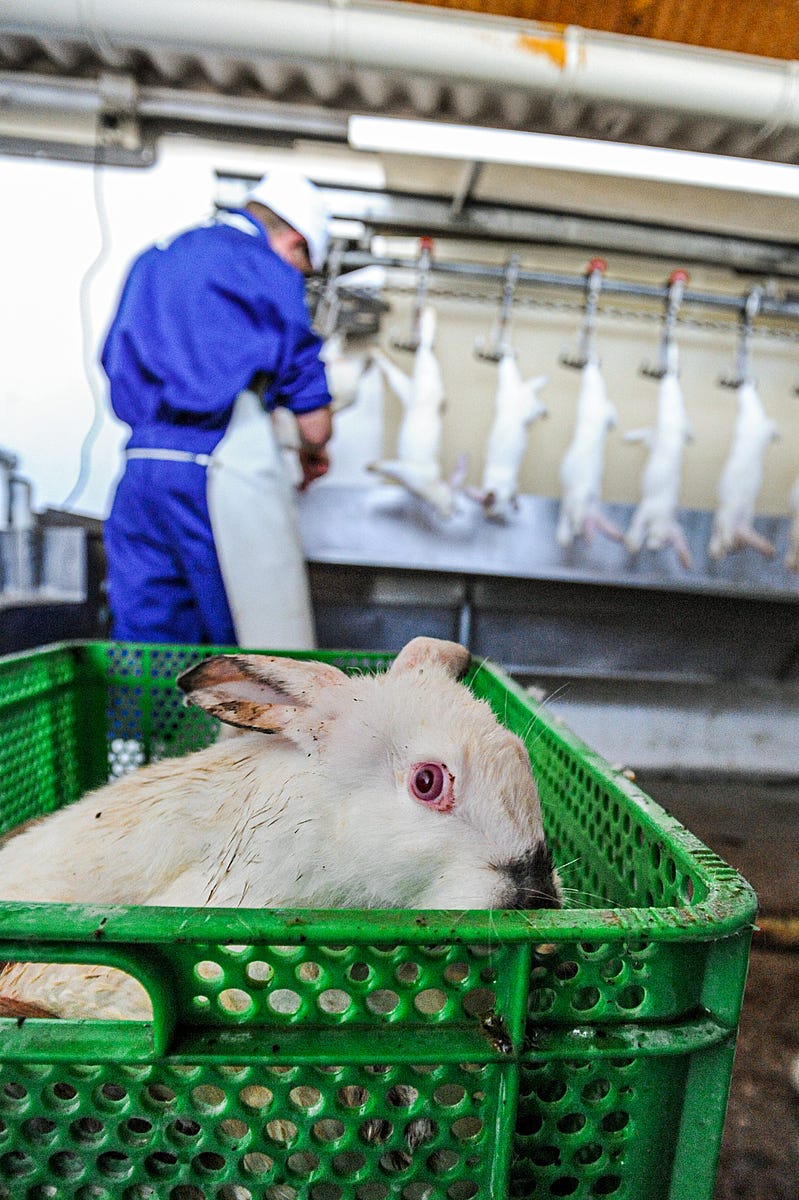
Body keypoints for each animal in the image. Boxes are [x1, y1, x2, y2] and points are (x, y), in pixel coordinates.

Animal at [470, 345, 544, 518]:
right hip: (505, 396)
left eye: (497, 514)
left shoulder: (513, 484)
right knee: (509, 367)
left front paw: (517, 505)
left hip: (529, 410)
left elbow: (515, 493)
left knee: (537, 405)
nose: (492, 517)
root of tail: (518, 391)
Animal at [554, 352, 623, 547]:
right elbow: (564, 511)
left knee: (610, 411)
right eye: (575, 522)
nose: (579, 532)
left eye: (582, 523)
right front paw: (564, 534)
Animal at [623, 345, 691, 568]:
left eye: (665, 543)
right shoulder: (646, 507)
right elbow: (636, 523)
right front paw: (632, 541)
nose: (654, 547)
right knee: (646, 434)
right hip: (657, 433)